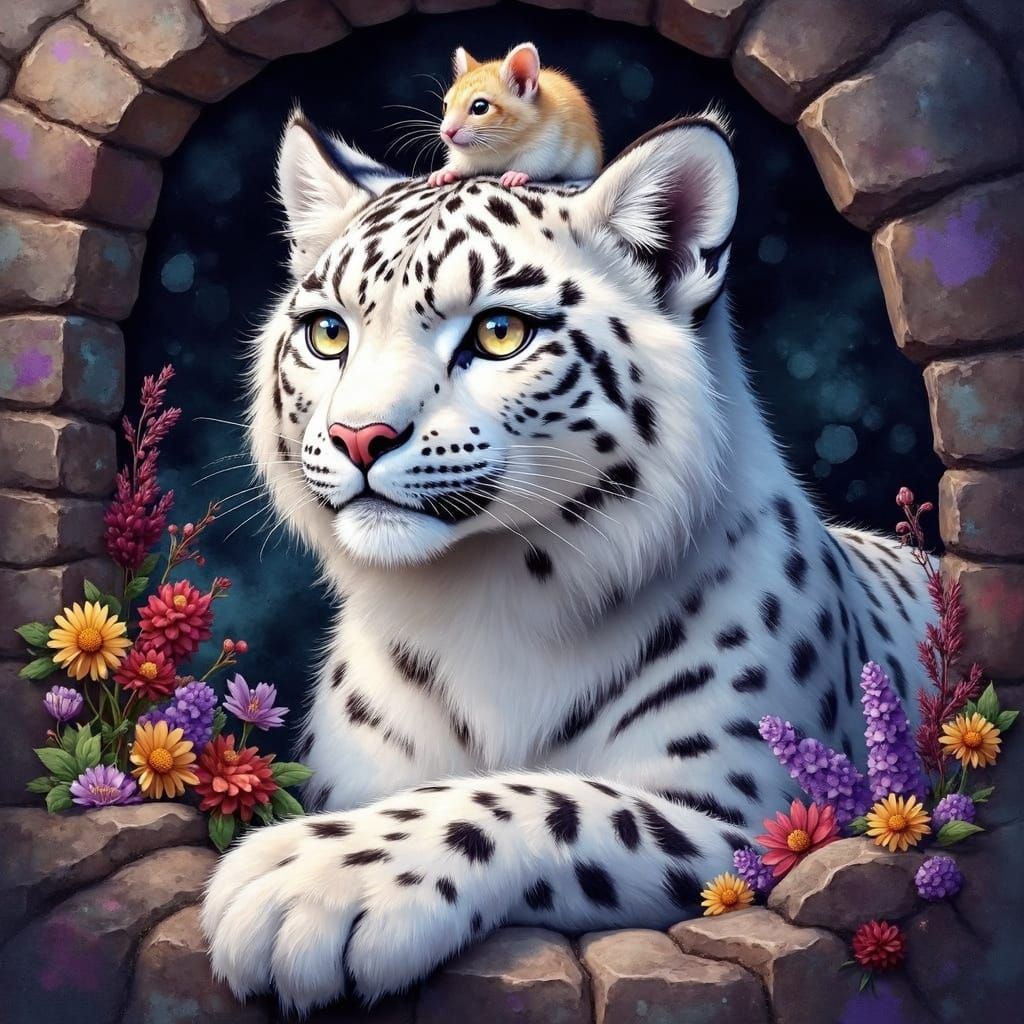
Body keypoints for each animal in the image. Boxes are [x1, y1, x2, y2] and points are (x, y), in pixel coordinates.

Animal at [202, 107, 933, 1013]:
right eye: (328, 331)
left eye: (499, 332)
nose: (357, 436)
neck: (479, 597)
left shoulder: (760, 819)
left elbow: (560, 799)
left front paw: (304, 884)